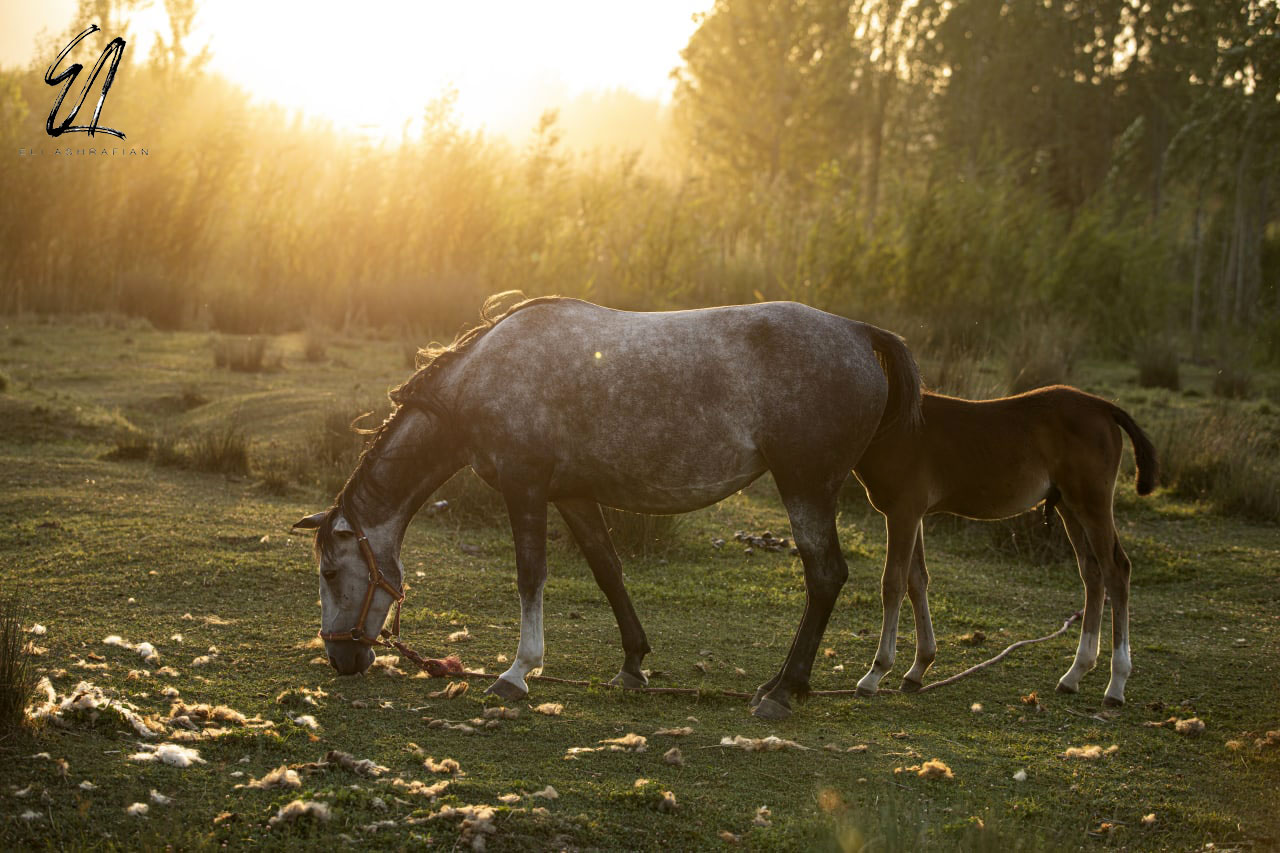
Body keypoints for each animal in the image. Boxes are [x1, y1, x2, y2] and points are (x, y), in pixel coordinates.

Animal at [293, 294, 921, 717]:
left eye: (330, 573)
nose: (341, 660)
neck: (485, 376)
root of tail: (860, 332)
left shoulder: (525, 489)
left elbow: (530, 575)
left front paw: (518, 671)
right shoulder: (572, 495)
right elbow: (607, 570)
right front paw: (632, 664)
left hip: (805, 487)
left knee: (825, 576)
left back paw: (783, 690)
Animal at [849, 384, 1162, 701]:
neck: (897, 422)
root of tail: (1105, 407)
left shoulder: (903, 512)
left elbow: (893, 584)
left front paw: (875, 673)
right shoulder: (914, 516)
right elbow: (917, 580)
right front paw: (918, 668)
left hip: (1091, 505)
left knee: (1116, 570)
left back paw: (1116, 683)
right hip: (1069, 507)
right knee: (1093, 573)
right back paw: (1075, 673)